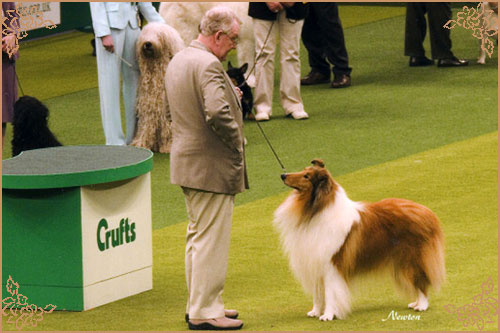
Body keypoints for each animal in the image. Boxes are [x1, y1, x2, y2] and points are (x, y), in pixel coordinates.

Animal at [132, 22, 185, 153]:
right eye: (146, 33)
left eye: (160, 36)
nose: (148, 43)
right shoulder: (148, 107)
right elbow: (146, 126)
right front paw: (141, 143)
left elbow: (168, 129)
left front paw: (168, 147)